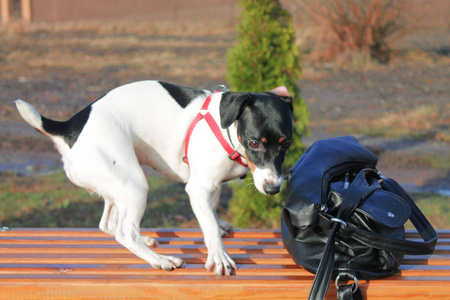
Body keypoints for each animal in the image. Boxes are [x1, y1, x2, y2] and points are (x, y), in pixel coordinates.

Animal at [15, 81, 294, 276]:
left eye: (286, 144)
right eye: (254, 143)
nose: (273, 188)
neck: (228, 133)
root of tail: (71, 128)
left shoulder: (212, 186)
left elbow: (211, 213)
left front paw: (217, 225)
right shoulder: (198, 187)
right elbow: (209, 227)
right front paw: (219, 257)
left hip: (117, 185)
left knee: (109, 224)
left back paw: (146, 240)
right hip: (135, 185)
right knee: (124, 232)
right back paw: (160, 261)